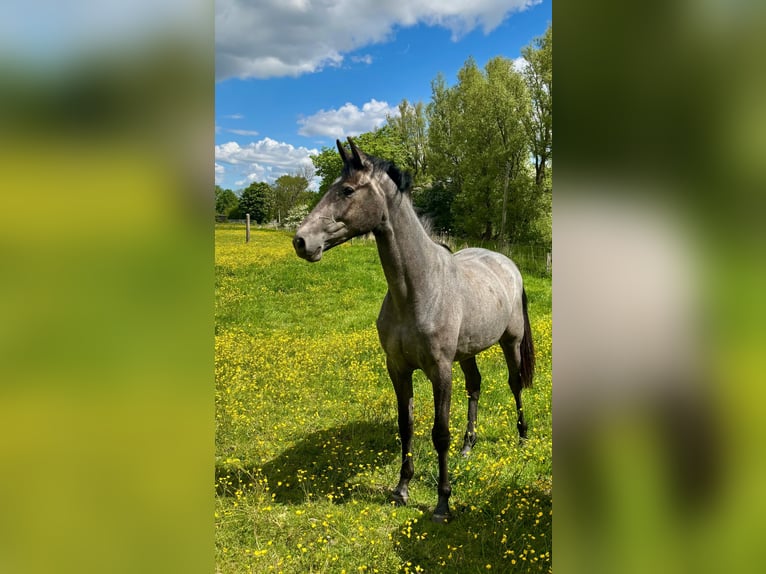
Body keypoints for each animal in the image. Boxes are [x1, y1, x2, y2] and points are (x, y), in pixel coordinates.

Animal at [293, 137, 535, 522]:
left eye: (347, 190)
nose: (301, 241)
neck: (418, 289)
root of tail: (507, 263)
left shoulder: (440, 371)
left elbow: (439, 433)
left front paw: (442, 502)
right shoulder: (398, 368)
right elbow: (405, 426)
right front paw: (401, 488)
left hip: (510, 342)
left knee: (514, 384)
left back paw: (523, 438)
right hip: (467, 354)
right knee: (475, 386)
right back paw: (469, 446)